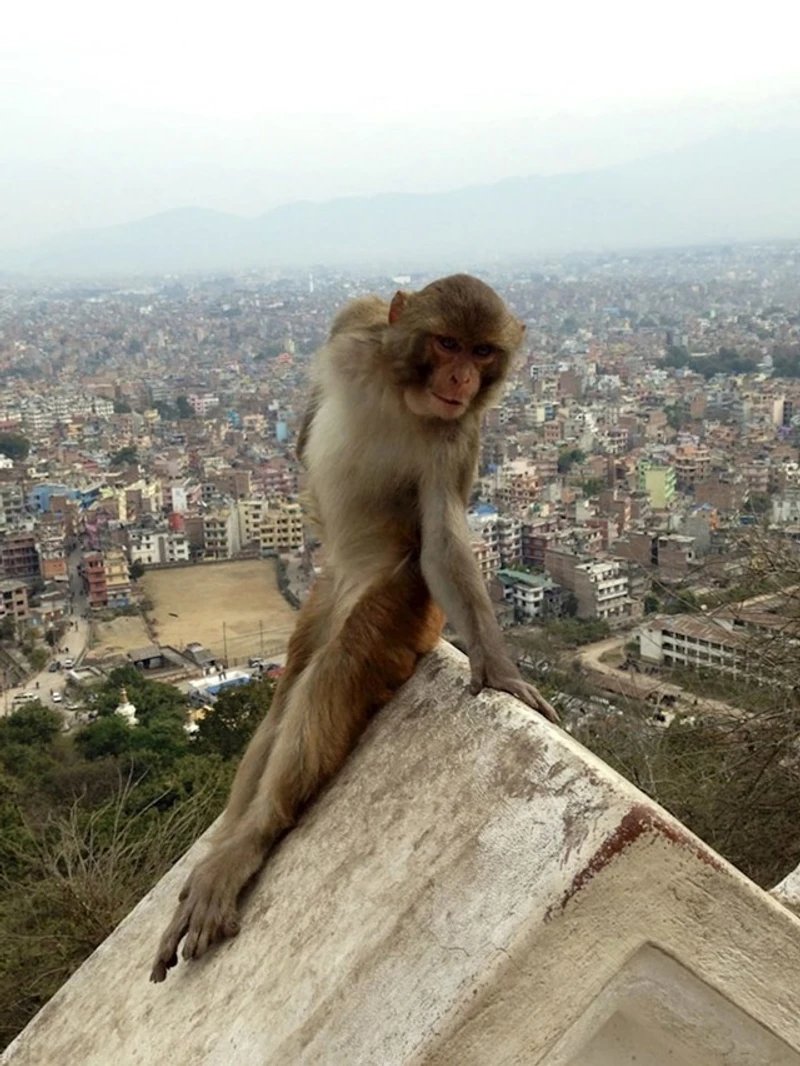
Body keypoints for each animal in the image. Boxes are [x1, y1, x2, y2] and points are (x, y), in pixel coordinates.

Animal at [150, 274, 557, 982]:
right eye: (447, 343)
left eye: (483, 352)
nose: (460, 376)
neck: (402, 391)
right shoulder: (355, 326)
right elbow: (316, 406)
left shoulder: (459, 436)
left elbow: (443, 540)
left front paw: (501, 671)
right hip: (321, 598)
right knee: (289, 693)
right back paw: (229, 842)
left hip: (400, 602)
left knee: (337, 667)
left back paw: (247, 843)